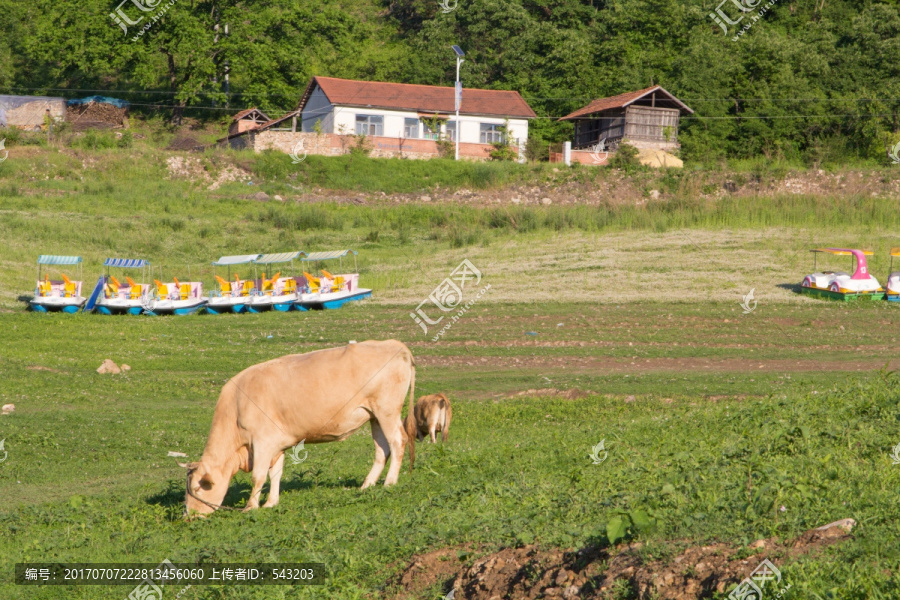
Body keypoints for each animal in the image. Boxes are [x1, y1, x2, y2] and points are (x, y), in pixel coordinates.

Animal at [180, 340, 418, 516]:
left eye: (197, 488)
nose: (189, 516)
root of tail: (394, 344)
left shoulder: (263, 442)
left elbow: (259, 476)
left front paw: (250, 507)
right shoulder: (276, 445)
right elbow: (275, 473)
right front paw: (271, 503)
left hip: (387, 411)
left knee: (397, 442)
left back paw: (389, 482)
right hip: (374, 416)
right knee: (382, 449)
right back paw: (367, 485)